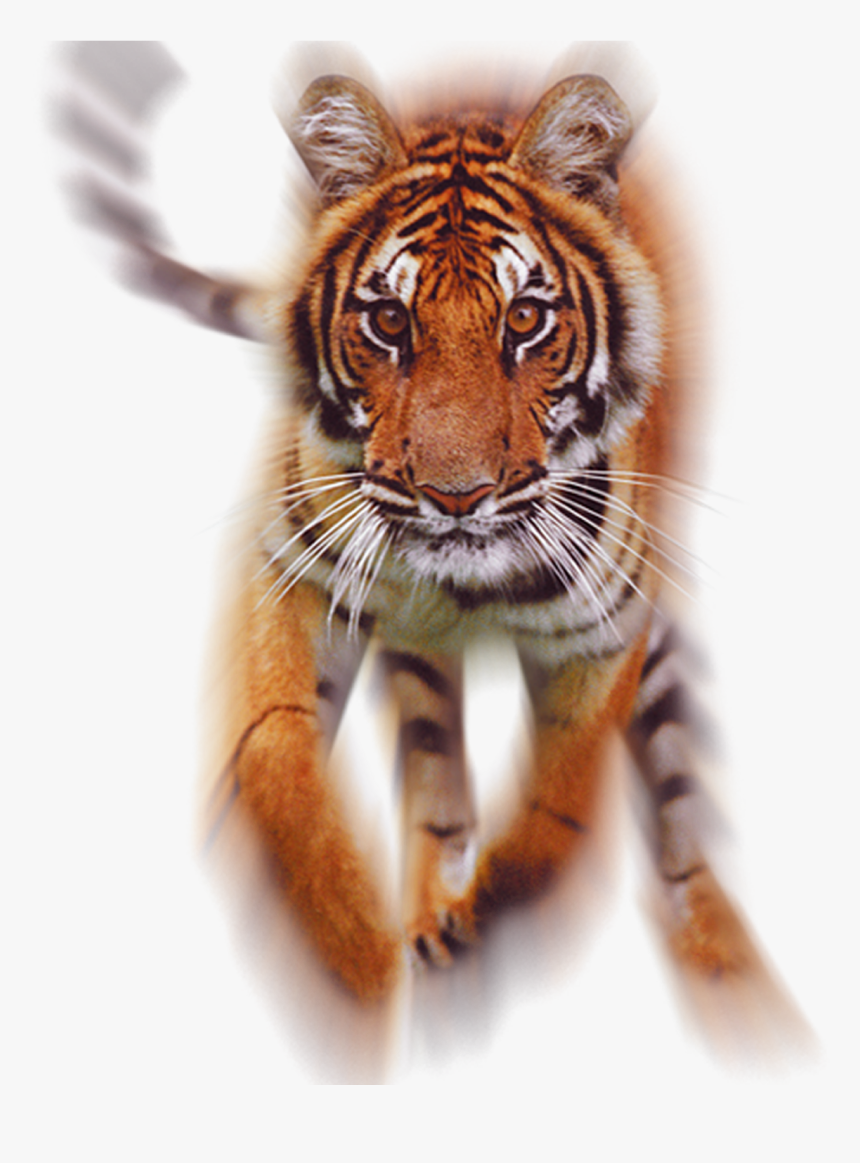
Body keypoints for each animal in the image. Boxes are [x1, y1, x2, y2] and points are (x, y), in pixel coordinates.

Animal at [55, 41, 801, 1042]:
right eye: (388, 320)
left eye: (524, 319)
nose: (455, 497)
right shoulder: (295, 572)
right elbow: (276, 755)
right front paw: (354, 956)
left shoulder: (608, 633)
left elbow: (557, 814)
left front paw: (483, 922)